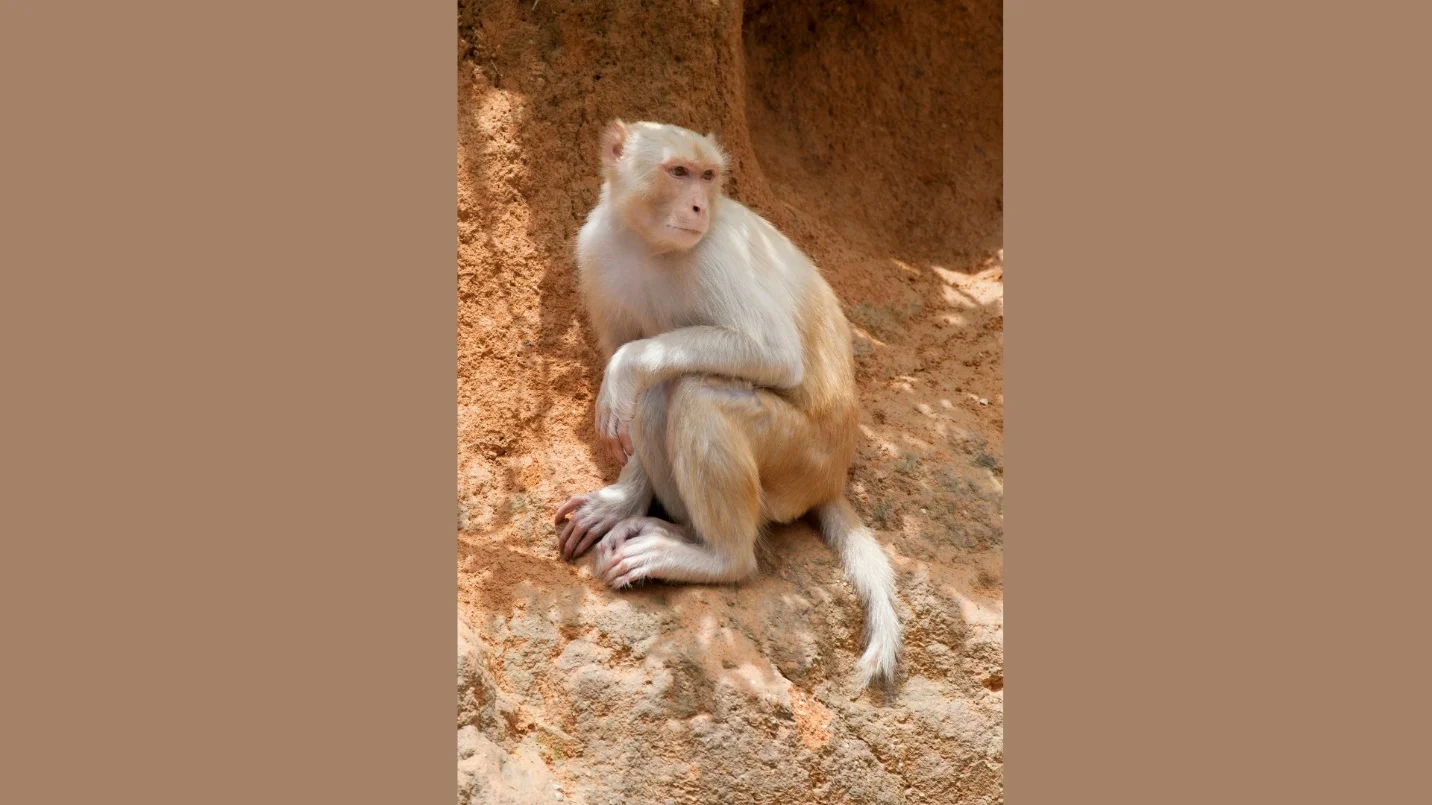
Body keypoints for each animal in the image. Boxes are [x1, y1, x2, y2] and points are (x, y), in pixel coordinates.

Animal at [553, 119, 900, 688]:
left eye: (708, 176)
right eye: (679, 172)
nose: (699, 206)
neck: (649, 246)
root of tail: (832, 476)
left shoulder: (716, 255)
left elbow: (773, 354)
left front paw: (626, 368)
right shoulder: (596, 253)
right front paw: (619, 500)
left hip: (797, 459)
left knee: (690, 393)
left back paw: (718, 558)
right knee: (662, 395)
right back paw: (675, 530)